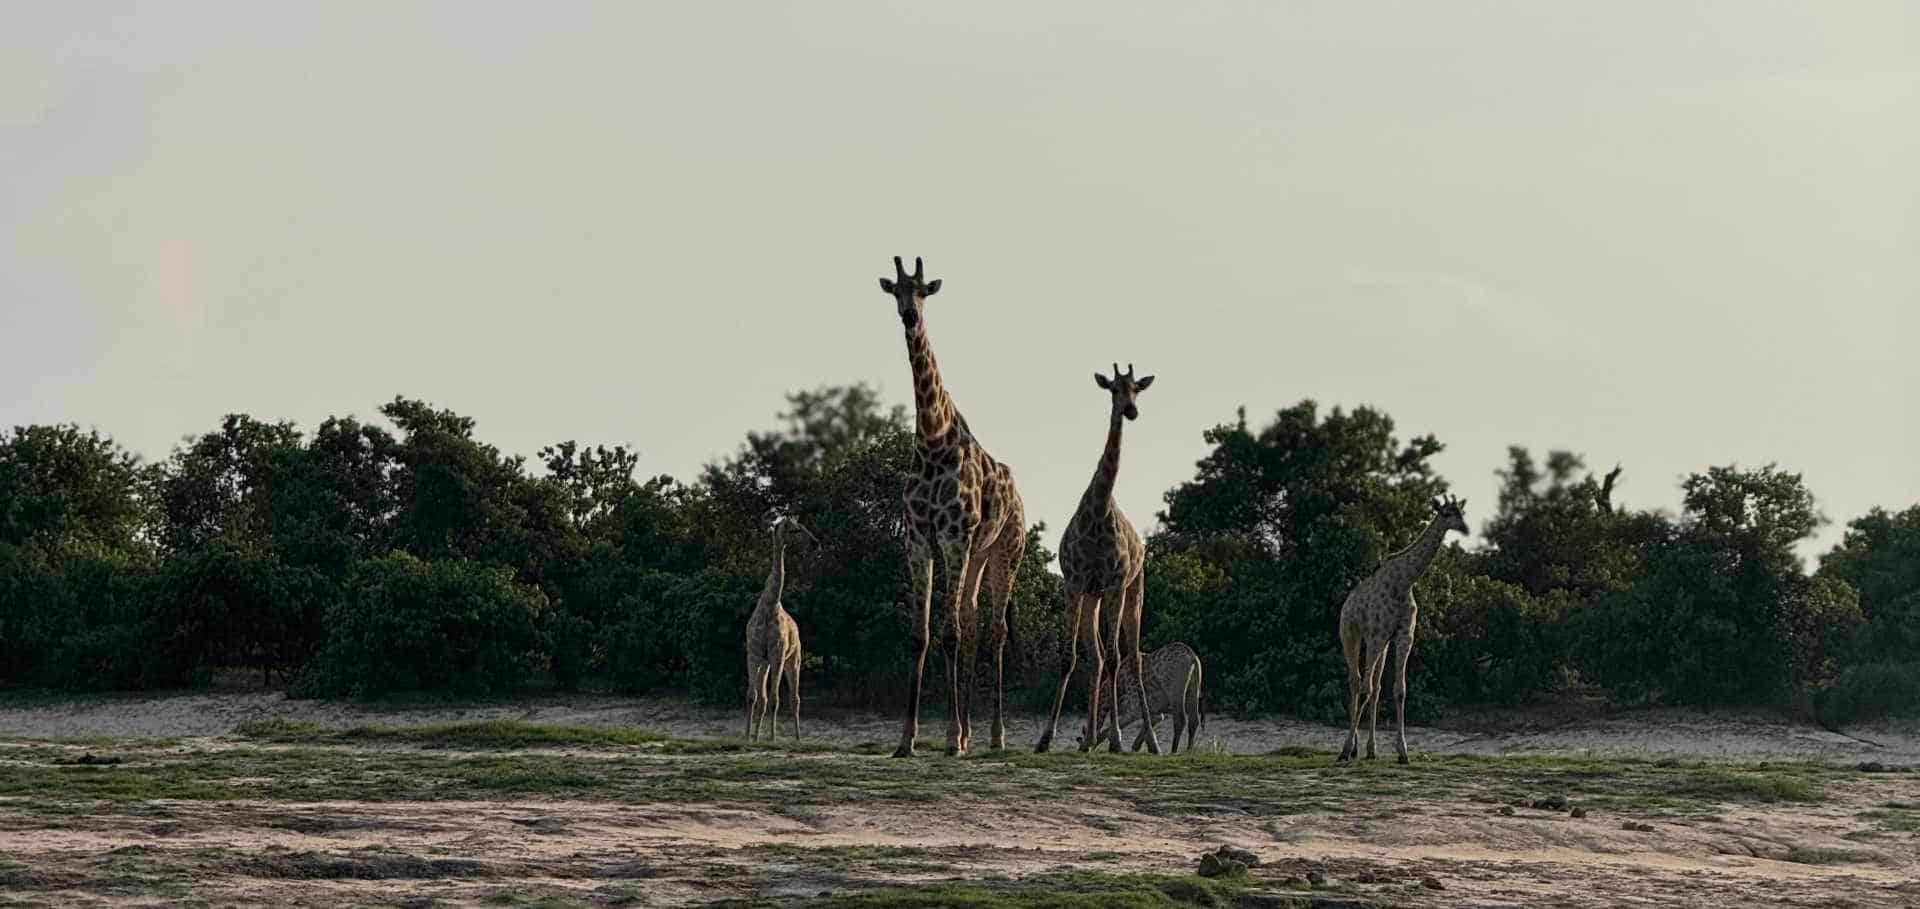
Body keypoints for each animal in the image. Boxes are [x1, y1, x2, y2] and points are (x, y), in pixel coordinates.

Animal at [745, 516, 814, 741]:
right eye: (795, 530)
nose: (815, 542)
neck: (769, 605)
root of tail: (797, 628)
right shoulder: (754, 654)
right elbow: (752, 697)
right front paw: (748, 736)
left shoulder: (777, 655)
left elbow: (775, 700)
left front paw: (772, 737)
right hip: (766, 663)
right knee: (764, 698)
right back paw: (756, 736)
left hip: (794, 659)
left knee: (794, 698)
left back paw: (798, 738)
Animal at [880, 256, 1027, 757]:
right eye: (896, 291)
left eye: (924, 290)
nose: (910, 316)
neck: (931, 439)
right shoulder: (918, 539)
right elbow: (921, 634)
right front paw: (907, 738)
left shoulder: (953, 537)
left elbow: (948, 634)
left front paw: (948, 739)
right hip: (978, 554)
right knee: (973, 619)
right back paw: (967, 730)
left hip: (1005, 550)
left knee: (994, 629)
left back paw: (994, 735)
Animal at [1036, 363, 1160, 754]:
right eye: (1113, 389)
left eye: (1137, 388)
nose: (1131, 411)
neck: (1099, 508)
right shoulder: (1075, 583)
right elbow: (1069, 657)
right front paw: (1044, 738)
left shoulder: (1116, 582)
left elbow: (1118, 660)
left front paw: (1117, 739)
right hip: (1094, 598)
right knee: (1098, 657)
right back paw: (1089, 740)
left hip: (1134, 591)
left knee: (1130, 659)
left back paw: (1150, 742)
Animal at [1077, 641, 1206, 754]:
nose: (1082, 749)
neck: (1119, 684)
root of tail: (1192, 657)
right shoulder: (1155, 711)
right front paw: (1138, 747)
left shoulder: (1134, 708)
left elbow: (1108, 729)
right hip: (1193, 689)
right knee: (1194, 719)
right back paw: (1189, 750)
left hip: (1175, 691)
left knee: (1181, 719)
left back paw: (1173, 750)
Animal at [1336, 495, 1469, 764]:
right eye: (1447, 513)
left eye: (1462, 513)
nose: (1465, 528)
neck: (1403, 582)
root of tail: (1346, 603)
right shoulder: (1377, 635)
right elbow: (1365, 690)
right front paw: (1345, 749)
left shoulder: (1403, 635)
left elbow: (1398, 691)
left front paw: (1403, 752)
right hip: (1352, 635)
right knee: (1356, 681)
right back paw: (1351, 749)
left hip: (1381, 643)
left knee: (1375, 687)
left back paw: (1370, 750)